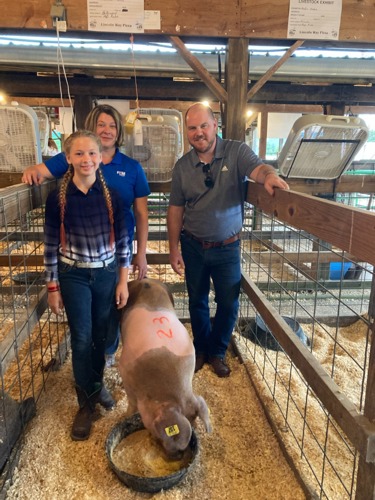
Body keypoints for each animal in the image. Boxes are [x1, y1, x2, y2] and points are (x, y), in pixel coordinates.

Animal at [118, 280, 212, 458]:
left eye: (194, 418)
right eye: (162, 439)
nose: (178, 455)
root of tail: (147, 281)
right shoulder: (126, 372)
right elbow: (131, 405)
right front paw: (124, 417)